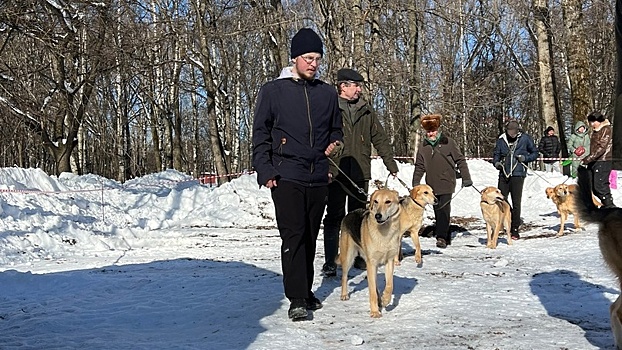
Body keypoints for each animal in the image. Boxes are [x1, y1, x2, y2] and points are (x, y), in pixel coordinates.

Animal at [336, 187, 404, 318]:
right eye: (376, 201)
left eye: (388, 202)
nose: (378, 215)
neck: (384, 233)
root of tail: (350, 213)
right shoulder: (371, 263)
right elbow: (372, 291)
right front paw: (374, 312)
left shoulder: (389, 261)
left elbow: (390, 285)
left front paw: (385, 299)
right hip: (348, 257)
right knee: (344, 276)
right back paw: (344, 294)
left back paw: (380, 300)